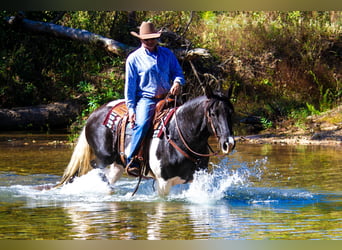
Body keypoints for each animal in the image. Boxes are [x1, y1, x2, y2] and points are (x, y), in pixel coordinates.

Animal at [56, 88, 236, 197]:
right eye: (213, 113)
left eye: (230, 112)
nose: (228, 143)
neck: (181, 137)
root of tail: (93, 115)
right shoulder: (163, 183)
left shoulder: (196, 179)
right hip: (103, 159)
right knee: (94, 169)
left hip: (117, 166)